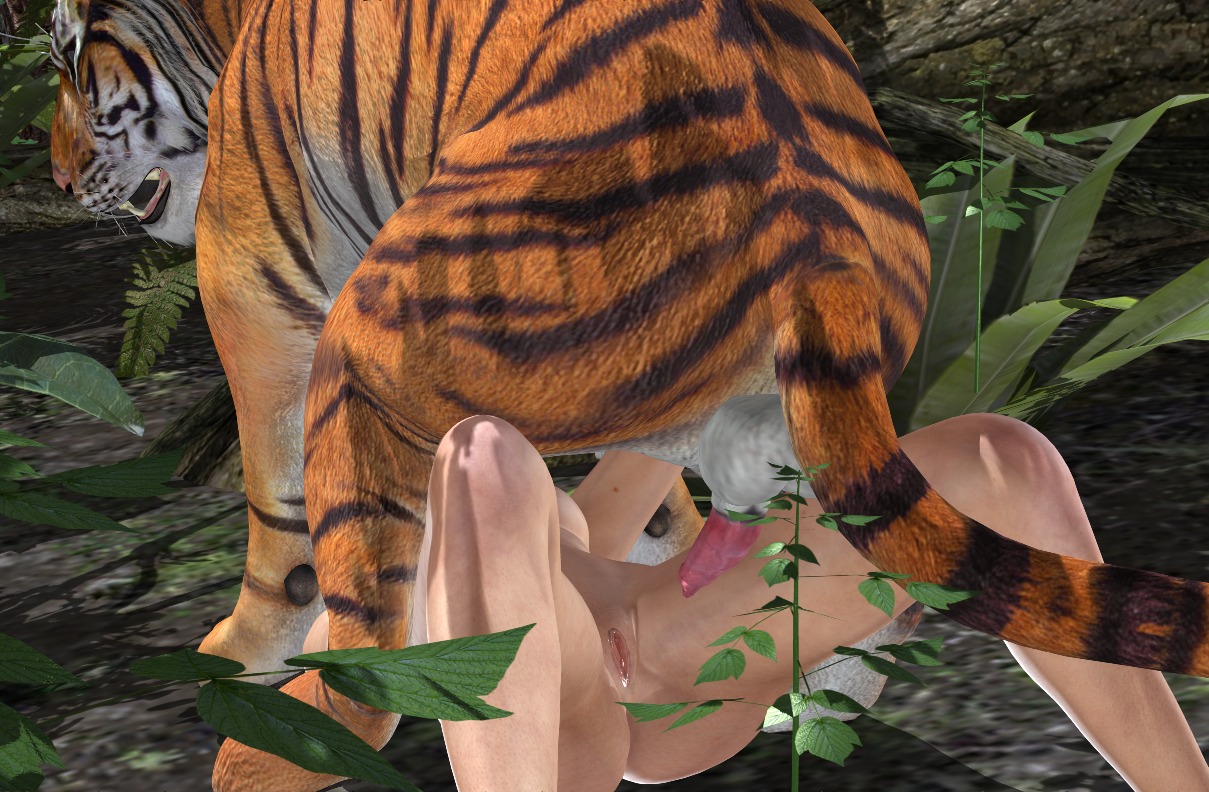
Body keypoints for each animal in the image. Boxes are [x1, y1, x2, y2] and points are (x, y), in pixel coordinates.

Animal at [45, 0, 1209, 789]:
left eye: (63, 62)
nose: (52, 179)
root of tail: (815, 216)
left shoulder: (248, 273)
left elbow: (277, 503)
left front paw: (240, 644)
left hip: (381, 325)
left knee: (375, 663)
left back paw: (284, 740)